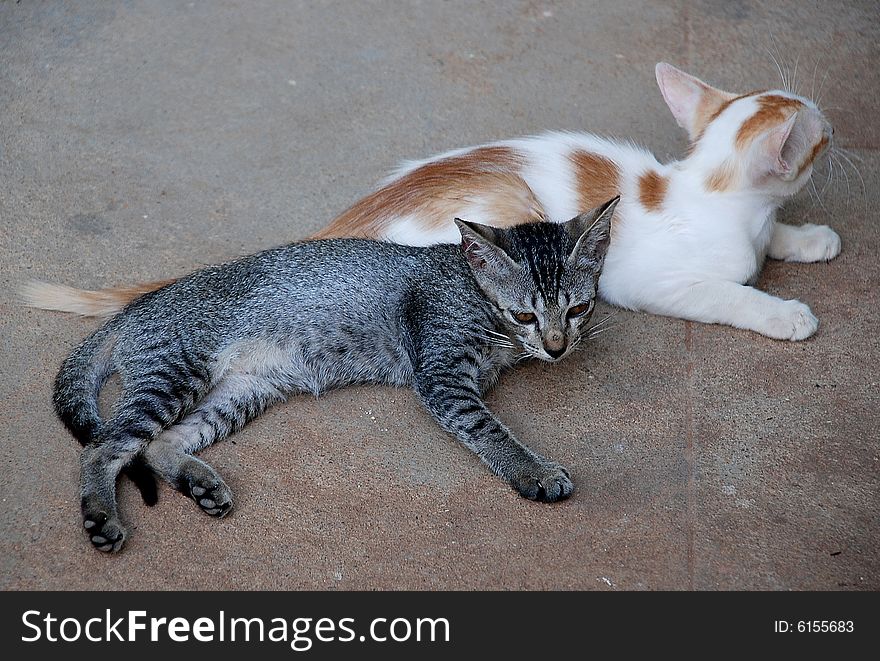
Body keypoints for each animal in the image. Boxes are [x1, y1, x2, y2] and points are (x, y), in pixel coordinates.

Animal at [25, 63, 840, 340]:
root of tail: (348, 221)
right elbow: (728, 294)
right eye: (821, 133)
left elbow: (777, 239)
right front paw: (783, 313)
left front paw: (808, 240)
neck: (713, 194)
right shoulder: (652, 279)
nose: (831, 120)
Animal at [55, 196, 620, 552]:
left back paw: (202, 484)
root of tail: (133, 308)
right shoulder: (443, 377)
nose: (557, 347)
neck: (472, 291)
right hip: (175, 374)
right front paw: (534, 471)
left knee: (159, 443)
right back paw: (102, 517)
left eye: (578, 309)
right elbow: (489, 430)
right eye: (524, 315)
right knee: (103, 446)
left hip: (241, 392)